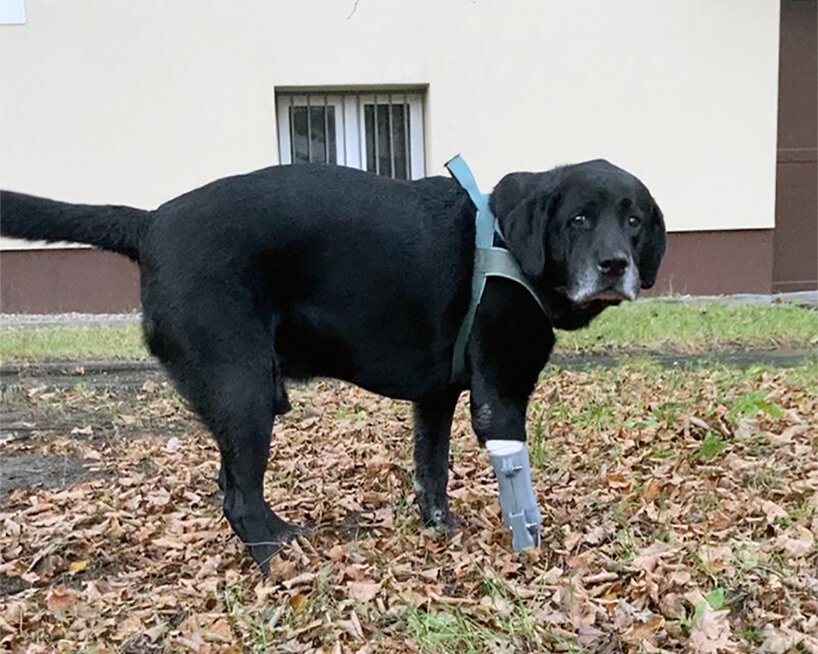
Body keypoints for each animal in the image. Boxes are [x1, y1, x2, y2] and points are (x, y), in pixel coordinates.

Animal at [0, 160, 664, 576]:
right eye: (578, 218)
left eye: (632, 219)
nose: (614, 265)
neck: (506, 242)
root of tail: (150, 221)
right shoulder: (499, 401)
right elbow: (519, 499)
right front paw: (531, 553)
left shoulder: (437, 399)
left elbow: (431, 471)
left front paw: (440, 530)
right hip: (243, 390)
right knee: (238, 498)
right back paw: (275, 561)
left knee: (232, 486)